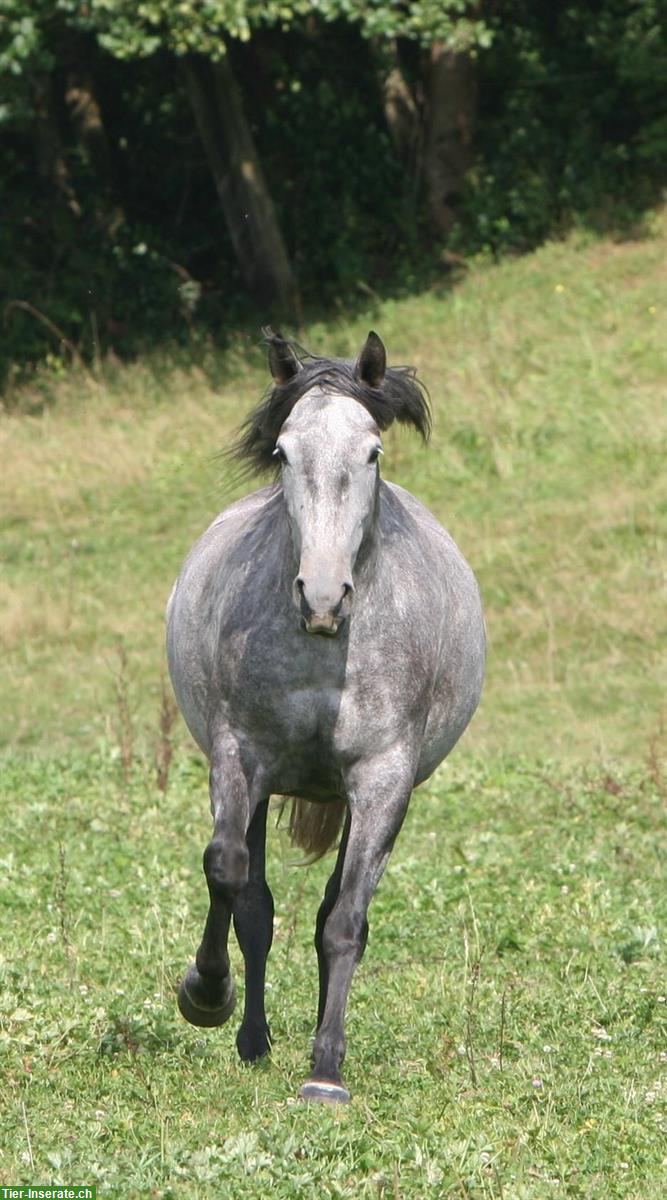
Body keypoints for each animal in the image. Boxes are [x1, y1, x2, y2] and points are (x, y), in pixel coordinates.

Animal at [164, 331, 482, 1104]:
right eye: (283, 451)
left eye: (372, 451)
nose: (323, 595)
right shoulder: (239, 755)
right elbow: (229, 873)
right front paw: (204, 993)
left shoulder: (381, 781)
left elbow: (344, 924)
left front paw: (326, 1072)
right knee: (253, 902)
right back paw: (250, 1038)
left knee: (329, 912)